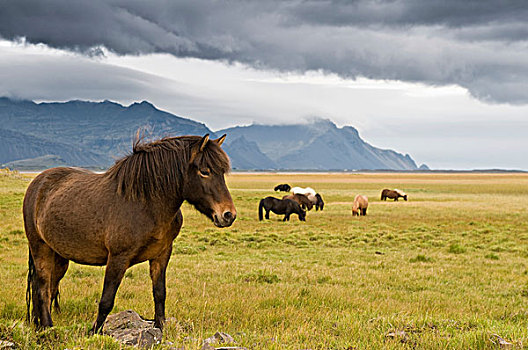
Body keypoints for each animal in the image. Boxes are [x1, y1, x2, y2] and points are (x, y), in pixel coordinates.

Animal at [24, 134, 235, 334]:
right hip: (40, 247)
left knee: (47, 287)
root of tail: (38, 182)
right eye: (205, 171)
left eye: (222, 172)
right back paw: (48, 327)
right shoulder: (118, 258)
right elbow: (106, 300)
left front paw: (160, 328)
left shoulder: (162, 254)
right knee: (42, 288)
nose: (228, 215)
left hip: (59, 256)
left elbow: (159, 293)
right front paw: (94, 332)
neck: (146, 204)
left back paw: (38, 324)